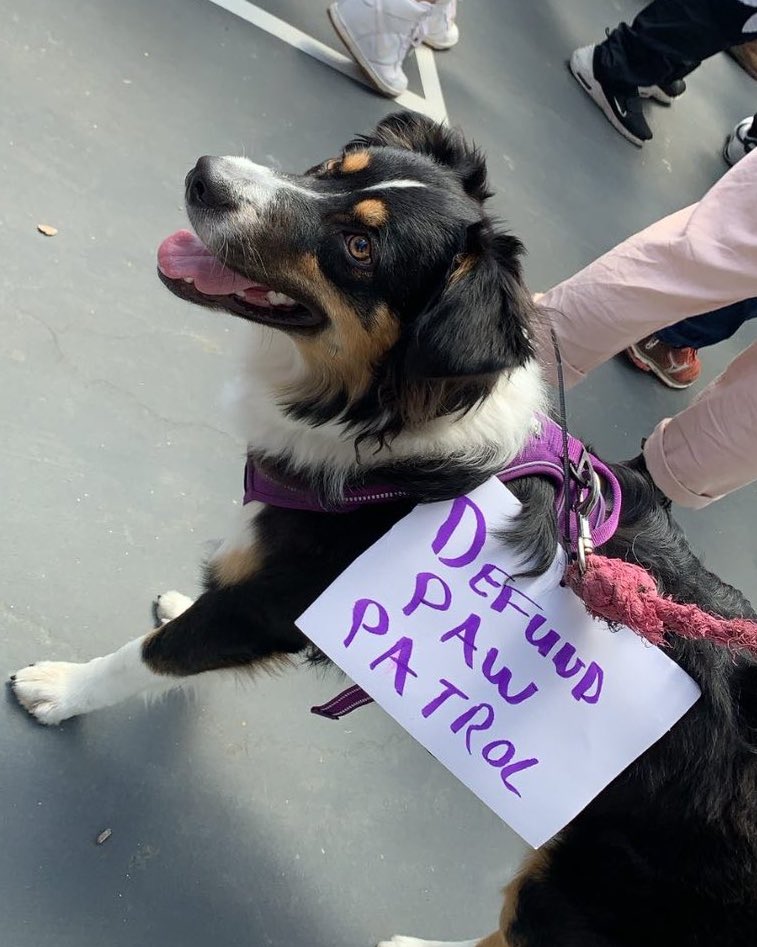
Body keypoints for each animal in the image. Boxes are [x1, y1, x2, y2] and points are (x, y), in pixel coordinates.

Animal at [10, 113, 756, 947]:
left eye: (360, 248)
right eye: (333, 166)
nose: (204, 176)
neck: (394, 432)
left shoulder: (268, 605)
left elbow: (146, 658)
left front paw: (59, 687)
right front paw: (176, 601)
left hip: (585, 887)